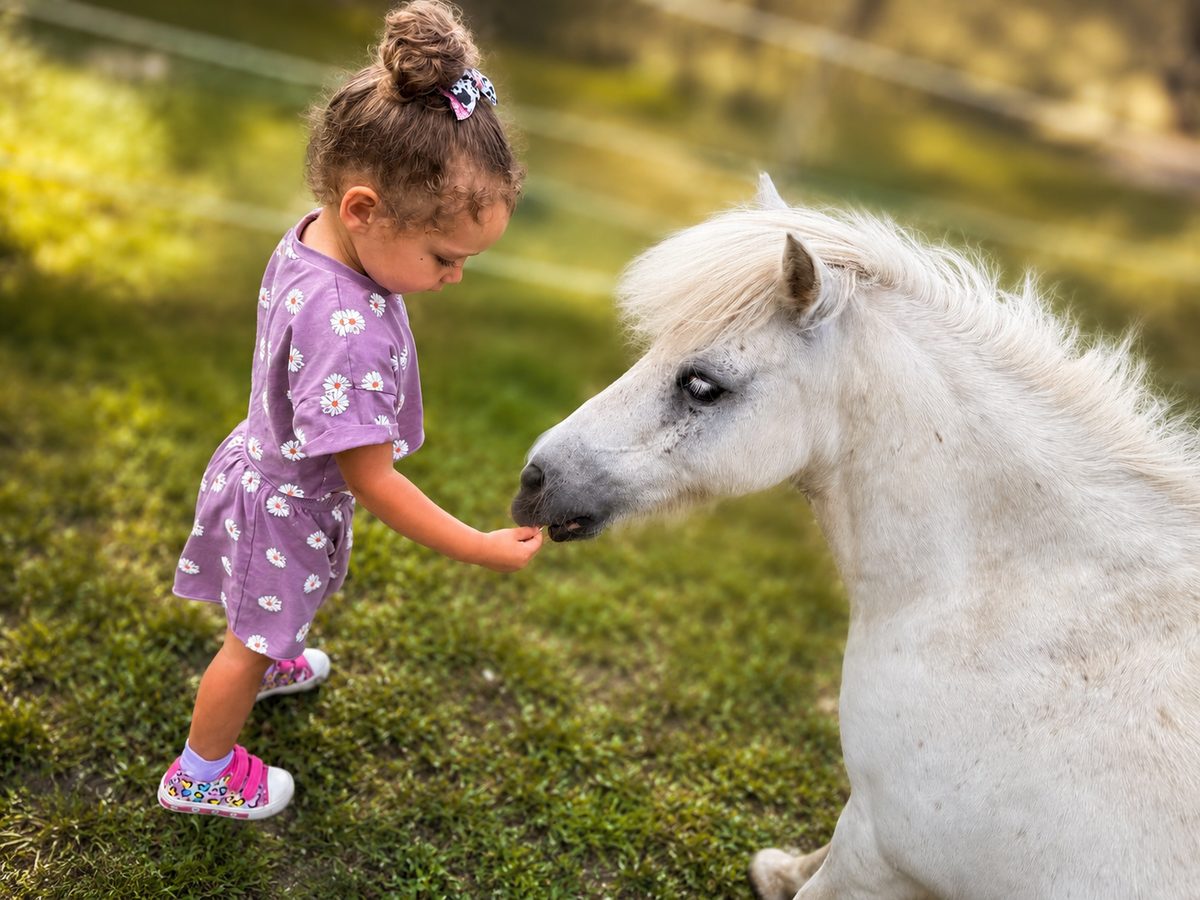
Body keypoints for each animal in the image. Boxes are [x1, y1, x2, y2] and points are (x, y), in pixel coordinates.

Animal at [510, 175, 1200, 899]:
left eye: (702, 385)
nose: (534, 479)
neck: (1024, 603)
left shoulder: (879, 851)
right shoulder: (867, 819)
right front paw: (777, 870)